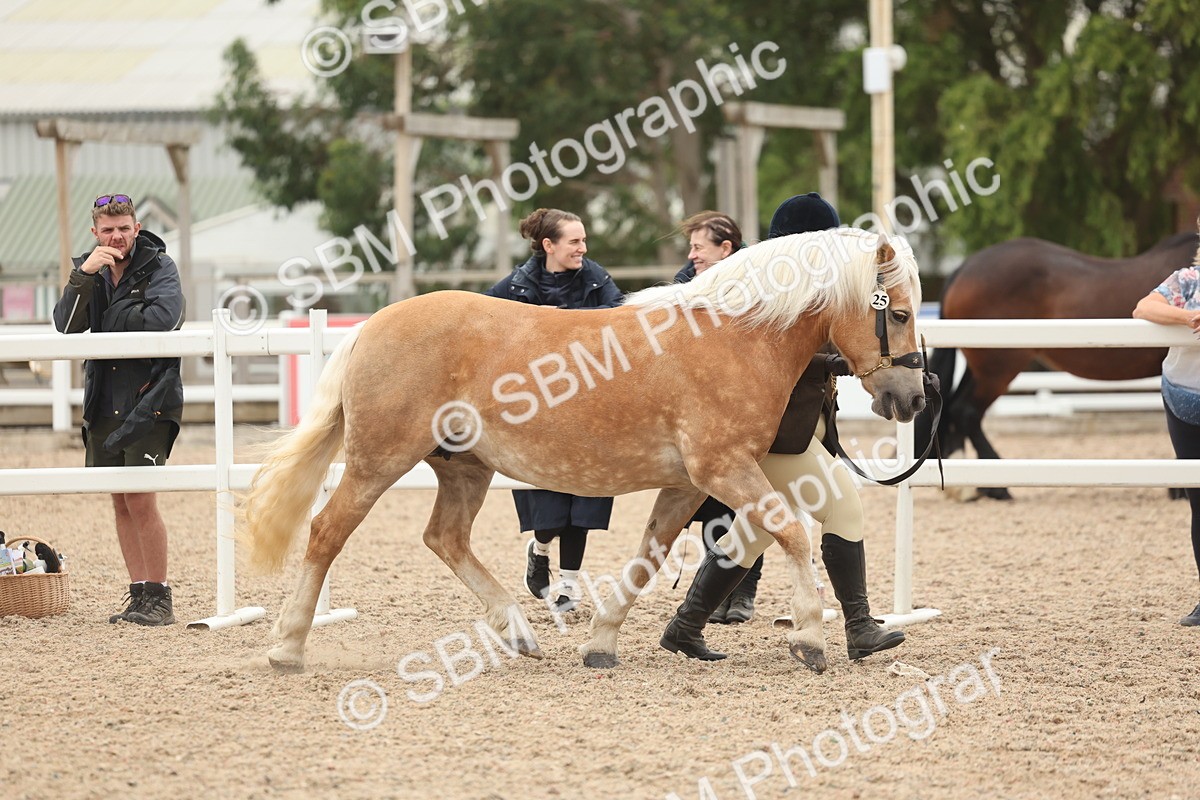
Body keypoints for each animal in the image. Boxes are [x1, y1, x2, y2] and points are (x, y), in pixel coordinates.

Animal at [239, 229, 925, 675]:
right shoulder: (722, 467)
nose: (914, 397)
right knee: (327, 532)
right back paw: (287, 647)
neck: (734, 335)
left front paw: (602, 642)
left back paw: (517, 632)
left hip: (465, 468)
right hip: (378, 461)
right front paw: (810, 639)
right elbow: (791, 533)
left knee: (445, 538)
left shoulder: (689, 483)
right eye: (900, 312)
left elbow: (650, 556)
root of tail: (370, 328)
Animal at [917, 231, 1199, 499]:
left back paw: (966, 488)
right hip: (998, 369)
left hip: (983, 367)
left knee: (956, 408)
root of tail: (964, 267)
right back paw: (997, 488)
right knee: (967, 412)